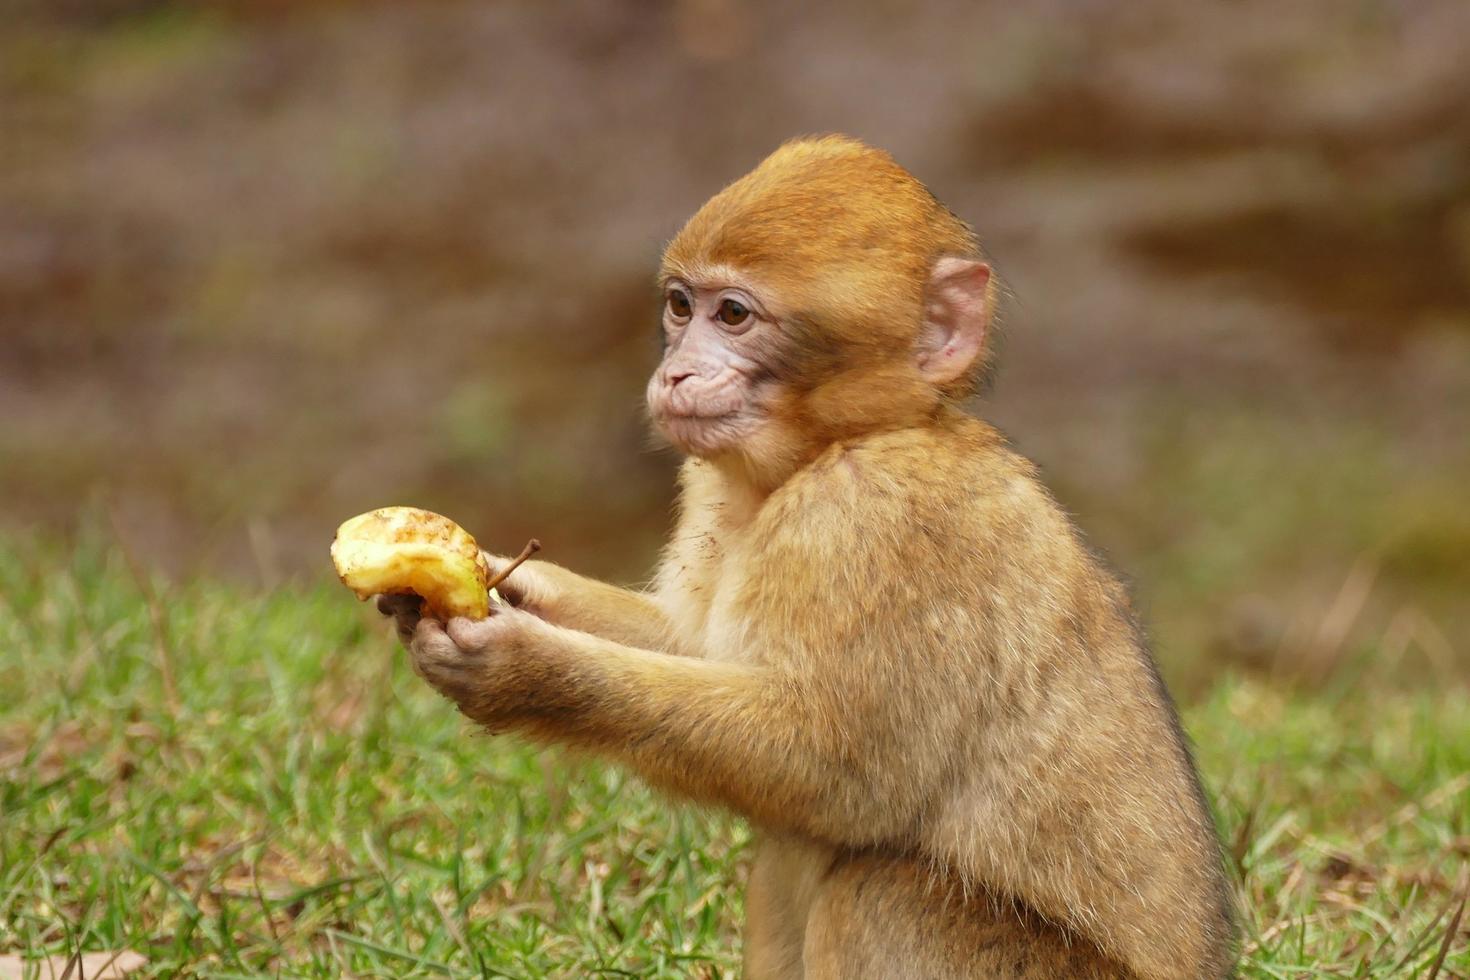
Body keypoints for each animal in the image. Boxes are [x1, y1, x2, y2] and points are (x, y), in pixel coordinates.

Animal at [385, 138, 1234, 980]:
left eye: (734, 315)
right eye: (681, 306)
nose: (675, 372)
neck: (841, 443)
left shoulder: (873, 516)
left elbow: (837, 772)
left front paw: (523, 669)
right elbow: (692, 648)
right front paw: (498, 581)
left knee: (878, 890)